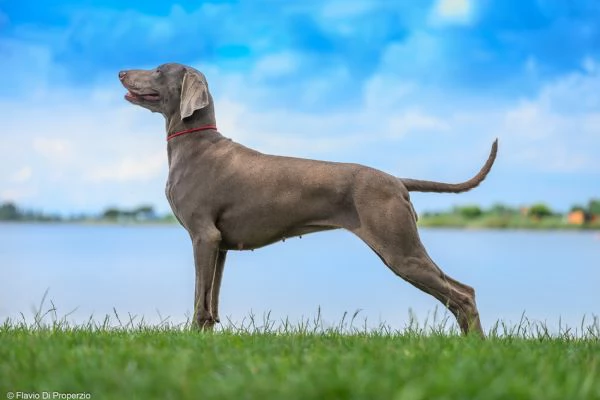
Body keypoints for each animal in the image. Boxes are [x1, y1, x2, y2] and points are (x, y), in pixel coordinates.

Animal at [118, 63, 496, 338]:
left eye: (158, 70)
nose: (120, 72)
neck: (194, 144)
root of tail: (395, 179)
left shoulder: (202, 236)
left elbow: (200, 297)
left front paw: (192, 336)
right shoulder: (219, 244)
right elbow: (212, 299)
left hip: (400, 250)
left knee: (462, 295)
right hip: (399, 249)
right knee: (461, 292)